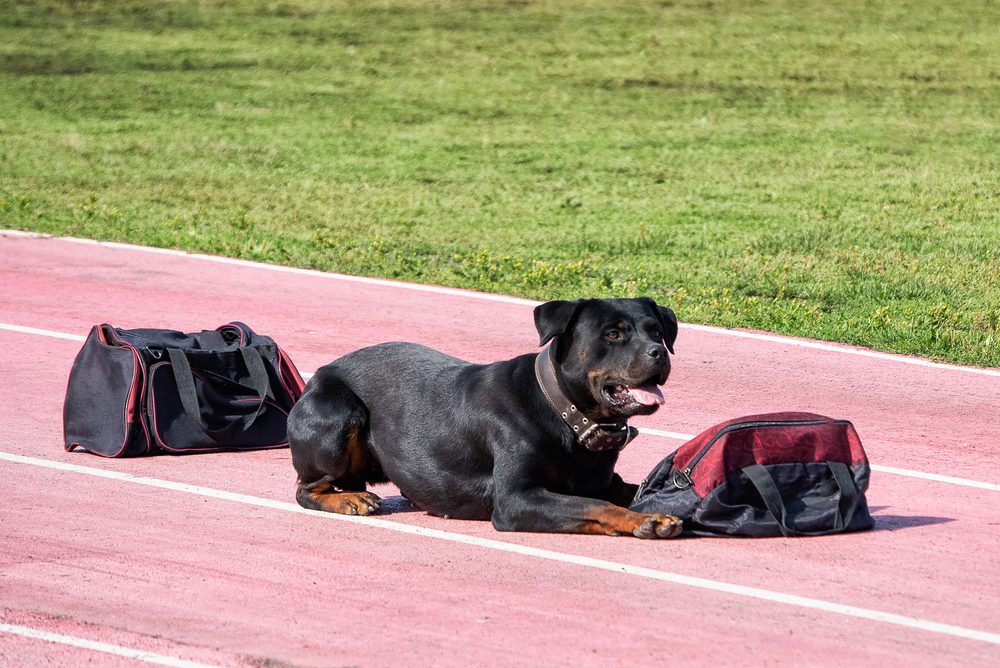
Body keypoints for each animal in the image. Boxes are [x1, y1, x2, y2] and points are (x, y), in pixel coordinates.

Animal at [286, 298, 684, 536]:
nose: (659, 353)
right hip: (337, 417)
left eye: (657, 331)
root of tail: (315, 377)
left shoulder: (603, 481)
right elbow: (594, 504)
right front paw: (644, 519)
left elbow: (622, 491)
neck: (566, 413)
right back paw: (347, 500)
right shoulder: (516, 500)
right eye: (613, 334)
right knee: (306, 488)